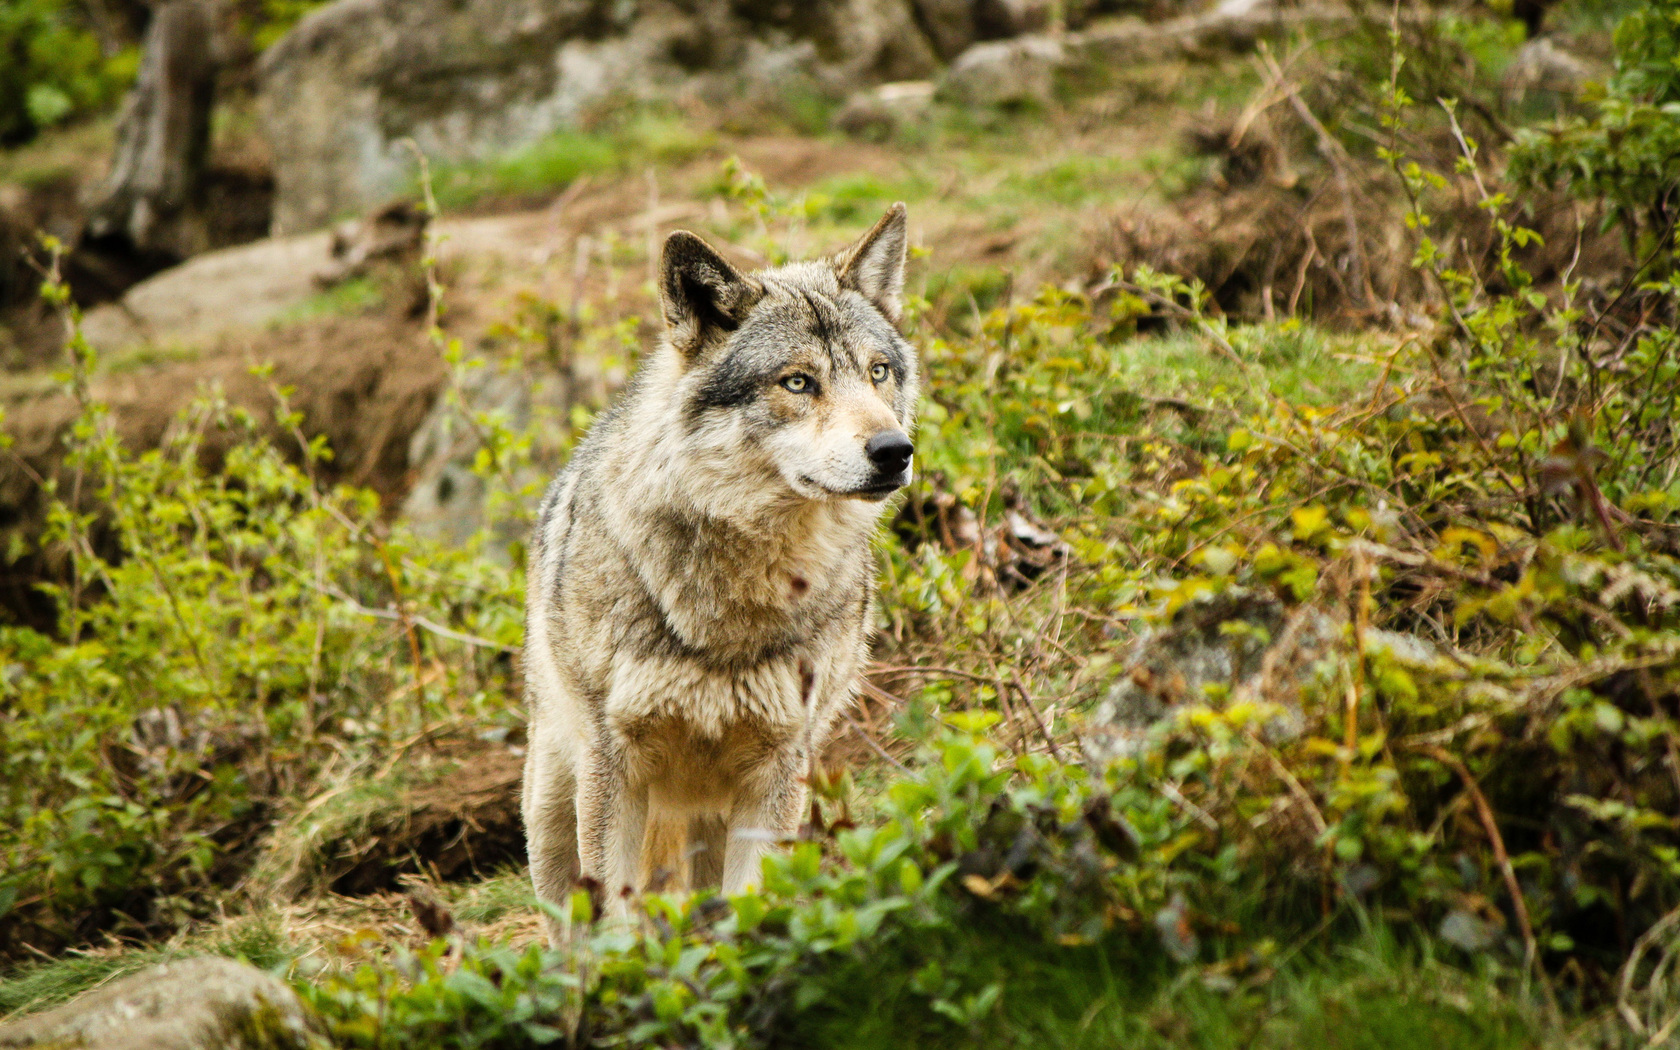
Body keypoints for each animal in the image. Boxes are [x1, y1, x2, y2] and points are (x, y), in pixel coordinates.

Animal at [520, 202, 920, 934]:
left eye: (878, 372)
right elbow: (617, 922)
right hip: (555, 808)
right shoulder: (616, 767)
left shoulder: (778, 770)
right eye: (798, 382)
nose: (893, 450)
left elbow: (751, 906)